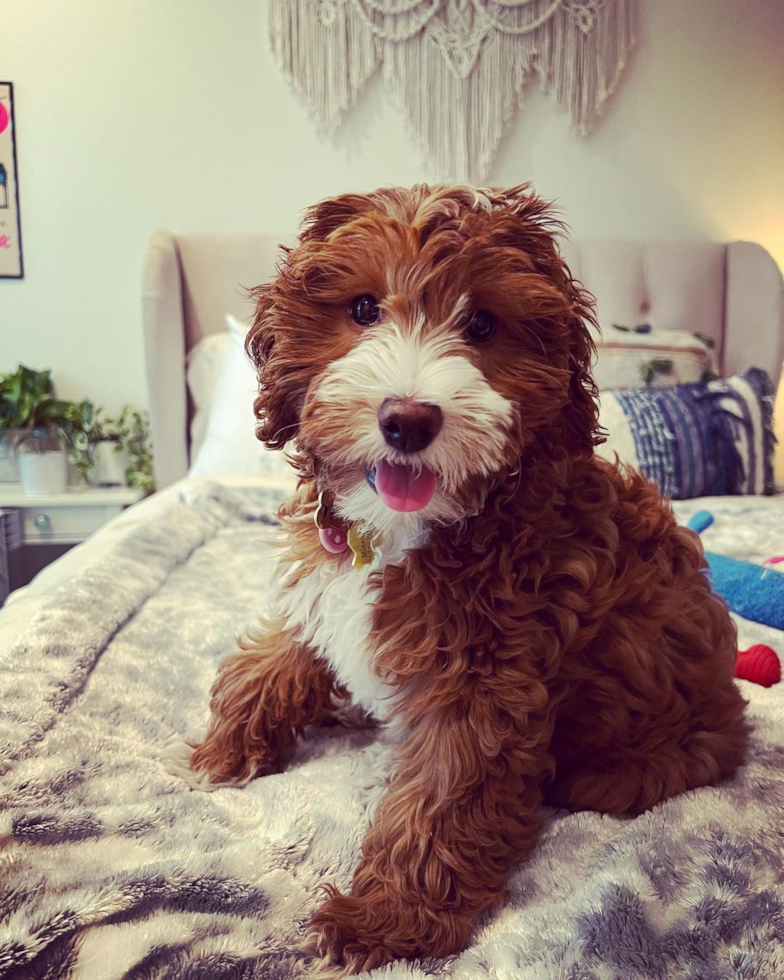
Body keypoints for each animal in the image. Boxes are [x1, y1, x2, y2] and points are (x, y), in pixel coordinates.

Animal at [187, 184, 752, 972]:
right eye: (363, 308)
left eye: (482, 324)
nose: (407, 419)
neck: (398, 529)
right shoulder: (329, 588)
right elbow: (274, 656)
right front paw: (227, 744)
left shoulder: (486, 678)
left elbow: (443, 794)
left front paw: (386, 922)